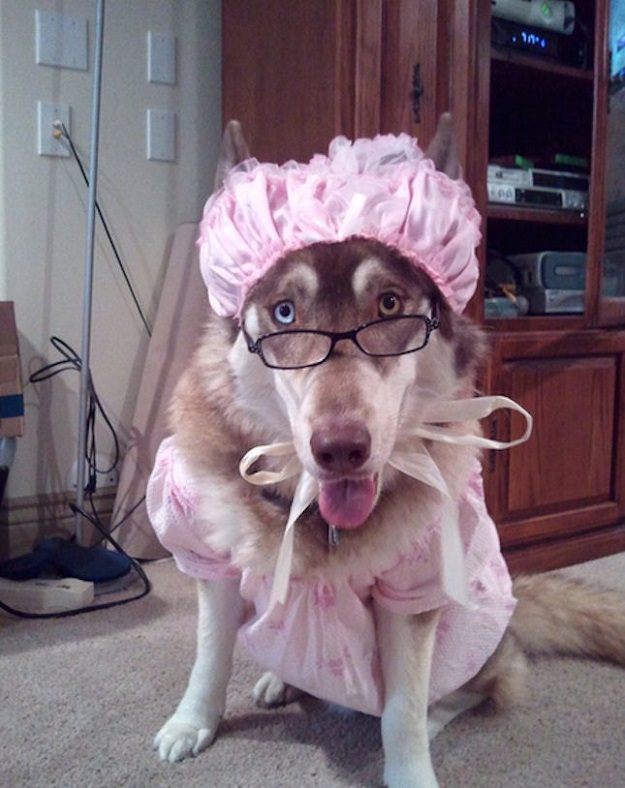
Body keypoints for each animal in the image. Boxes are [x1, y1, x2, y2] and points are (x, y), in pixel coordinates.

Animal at [149, 118, 624, 788]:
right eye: (285, 312)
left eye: (390, 306)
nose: (341, 450)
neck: (316, 512)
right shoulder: (211, 557)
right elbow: (210, 656)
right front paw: (193, 723)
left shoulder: (416, 592)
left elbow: (401, 708)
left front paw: (409, 769)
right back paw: (279, 679)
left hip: (477, 639)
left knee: (483, 684)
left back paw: (434, 713)